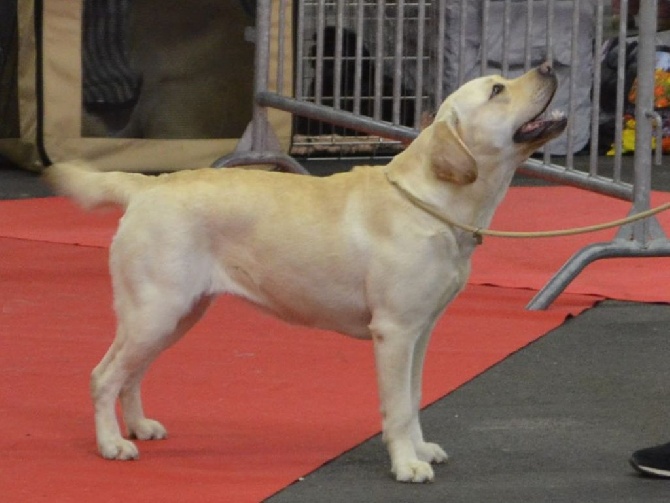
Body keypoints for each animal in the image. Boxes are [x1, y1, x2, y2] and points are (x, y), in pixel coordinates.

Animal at [44, 64, 568, 484]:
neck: (434, 202)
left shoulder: (421, 332)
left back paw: (139, 427)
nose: (548, 66)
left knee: (130, 374)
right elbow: (398, 407)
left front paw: (420, 450)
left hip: (176, 315)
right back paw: (113, 444)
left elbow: (415, 396)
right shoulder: (394, 331)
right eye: (498, 90)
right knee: (103, 376)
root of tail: (146, 186)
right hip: (156, 310)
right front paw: (406, 464)